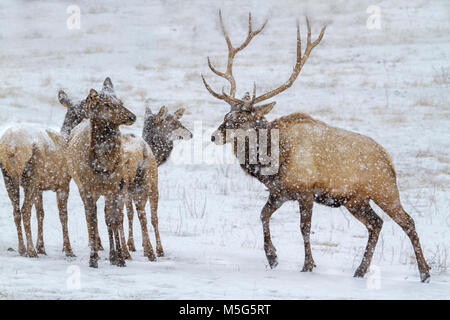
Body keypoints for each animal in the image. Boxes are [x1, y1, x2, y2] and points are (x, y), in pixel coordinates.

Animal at [202, 11, 430, 282]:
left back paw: (424, 272)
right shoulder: (279, 192)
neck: (275, 161)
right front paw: (272, 257)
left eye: (242, 119)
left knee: (408, 222)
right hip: (354, 200)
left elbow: (304, 228)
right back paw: (360, 270)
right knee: (376, 223)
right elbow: (263, 214)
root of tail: (389, 158)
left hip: (384, 190)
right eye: (226, 114)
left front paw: (308, 265)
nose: (214, 136)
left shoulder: (306, 190)